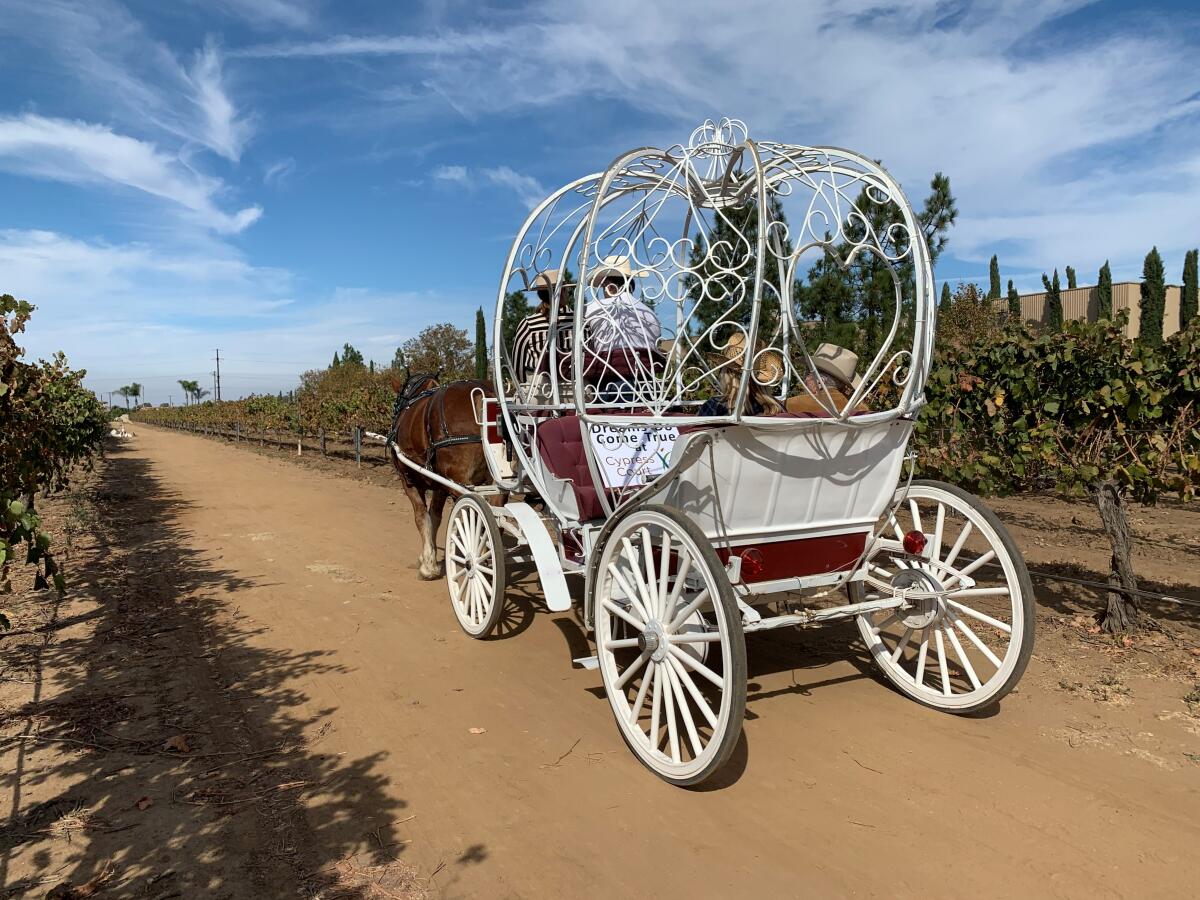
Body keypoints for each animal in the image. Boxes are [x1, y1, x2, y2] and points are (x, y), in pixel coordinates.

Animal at [388, 374, 492, 580]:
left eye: (396, 401)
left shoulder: (408, 481)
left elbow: (421, 517)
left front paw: (428, 565)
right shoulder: (439, 485)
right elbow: (435, 517)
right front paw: (429, 556)